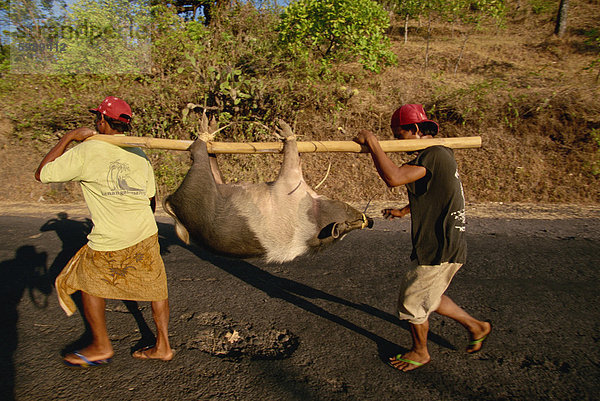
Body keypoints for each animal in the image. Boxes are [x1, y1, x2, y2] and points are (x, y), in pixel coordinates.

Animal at [162, 119, 372, 262]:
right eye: (349, 214)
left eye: (348, 222)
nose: (369, 221)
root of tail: (173, 199)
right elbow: (296, 156)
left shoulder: (289, 182)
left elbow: (291, 156)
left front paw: (285, 130)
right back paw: (212, 129)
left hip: (199, 180)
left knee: (199, 153)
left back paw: (205, 132)